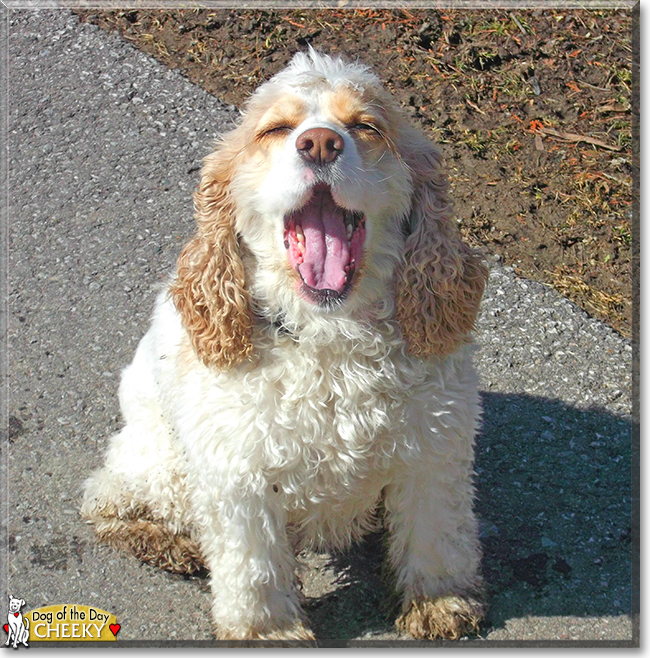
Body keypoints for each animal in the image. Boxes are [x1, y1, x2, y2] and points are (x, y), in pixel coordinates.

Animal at [81, 47, 486, 640]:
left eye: (366, 126)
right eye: (275, 129)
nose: (319, 143)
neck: (329, 336)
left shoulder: (433, 445)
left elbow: (437, 534)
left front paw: (440, 602)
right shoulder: (237, 475)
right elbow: (253, 566)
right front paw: (266, 630)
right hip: (164, 462)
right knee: (105, 499)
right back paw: (168, 545)